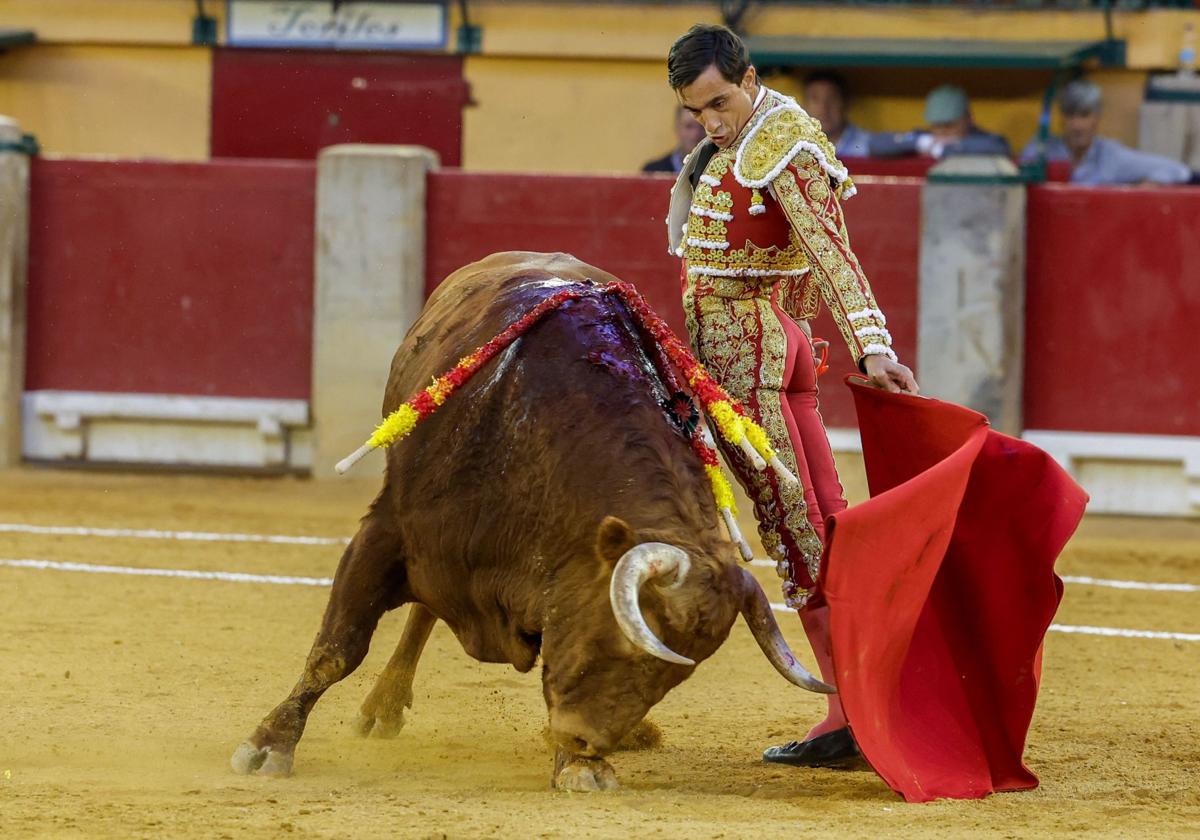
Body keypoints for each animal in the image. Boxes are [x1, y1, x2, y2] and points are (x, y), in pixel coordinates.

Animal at [229, 253, 830, 792]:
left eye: (676, 676)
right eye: (621, 642)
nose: (587, 741)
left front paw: (580, 766)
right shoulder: (385, 533)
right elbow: (337, 649)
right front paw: (268, 744)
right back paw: (381, 708)